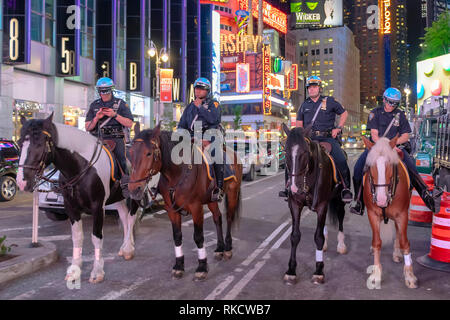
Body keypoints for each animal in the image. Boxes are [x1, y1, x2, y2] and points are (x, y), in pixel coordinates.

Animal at [16, 114, 138, 284]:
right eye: (20, 143)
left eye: (39, 143)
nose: (21, 181)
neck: (81, 166)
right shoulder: (71, 207)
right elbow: (77, 237)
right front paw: (75, 270)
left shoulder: (98, 207)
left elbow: (96, 237)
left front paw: (97, 271)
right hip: (118, 197)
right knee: (125, 216)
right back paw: (125, 247)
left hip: (136, 193)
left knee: (132, 217)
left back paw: (128, 248)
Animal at [126, 124, 243, 282]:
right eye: (131, 152)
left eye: (149, 153)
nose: (134, 189)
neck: (177, 173)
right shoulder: (171, 209)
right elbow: (177, 236)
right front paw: (179, 265)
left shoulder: (196, 207)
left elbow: (198, 237)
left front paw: (202, 267)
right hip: (211, 200)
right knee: (217, 218)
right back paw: (219, 248)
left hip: (232, 192)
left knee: (229, 217)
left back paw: (228, 248)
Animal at [282, 124, 348, 286]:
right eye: (285, 151)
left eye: (305, 152)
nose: (294, 187)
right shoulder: (295, 205)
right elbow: (295, 236)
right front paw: (291, 271)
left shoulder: (322, 205)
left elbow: (318, 237)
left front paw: (318, 271)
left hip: (339, 201)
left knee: (341, 218)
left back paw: (341, 245)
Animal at [362, 135, 418, 288]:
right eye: (371, 166)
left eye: (390, 165)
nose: (381, 199)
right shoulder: (373, 214)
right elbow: (377, 242)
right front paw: (376, 274)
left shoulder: (402, 215)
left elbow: (405, 242)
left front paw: (409, 276)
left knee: (398, 232)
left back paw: (397, 253)